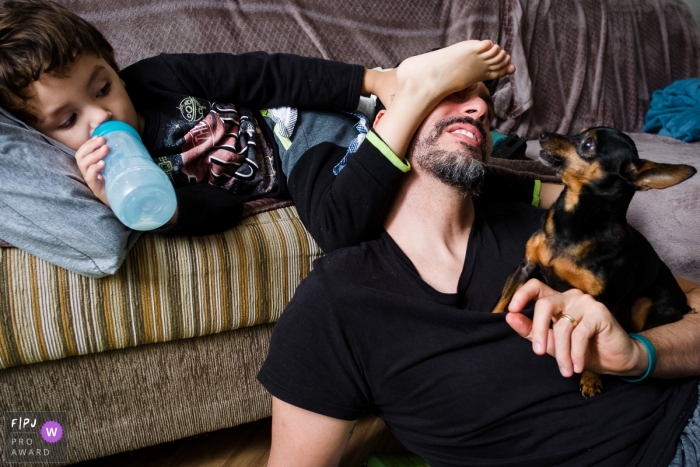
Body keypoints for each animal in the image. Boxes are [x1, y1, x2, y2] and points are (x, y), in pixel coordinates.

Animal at [492, 126, 696, 396]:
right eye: (578, 132)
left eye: (588, 145)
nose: (543, 133)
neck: (572, 221)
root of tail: (684, 304)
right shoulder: (524, 267)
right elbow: (504, 300)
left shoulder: (598, 302)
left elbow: (590, 342)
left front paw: (590, 377)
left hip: (647, 306)